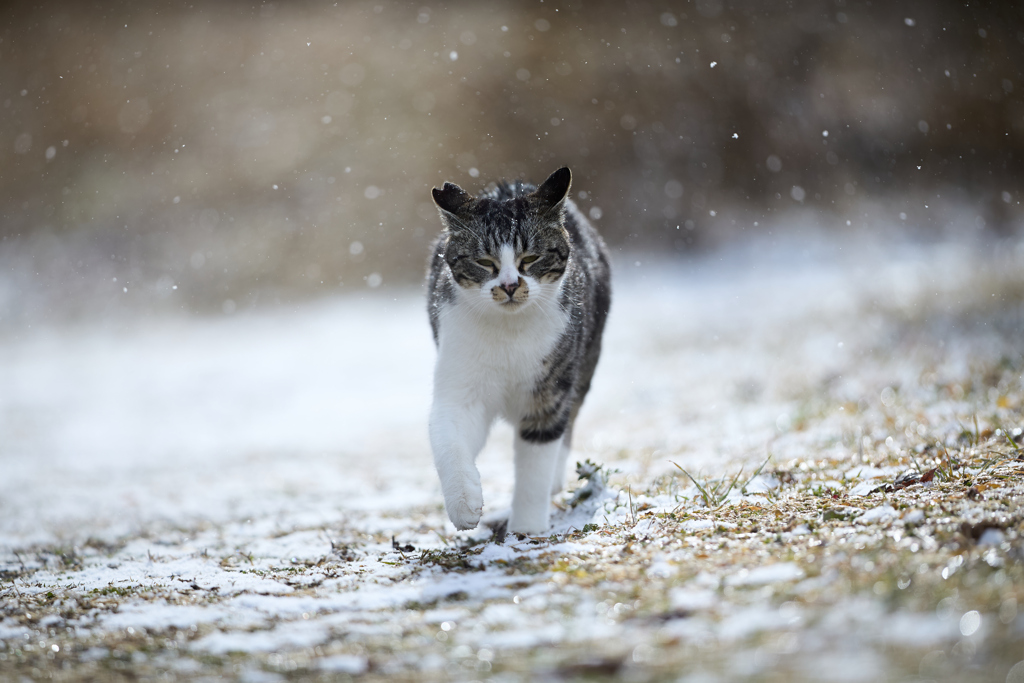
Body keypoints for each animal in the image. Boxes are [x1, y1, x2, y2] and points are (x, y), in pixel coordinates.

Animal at [423, 165, 606, 532]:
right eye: (484, 261)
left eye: (531, 258)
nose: (509, 285)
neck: (508, 335)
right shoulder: (460, 380)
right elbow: (448, 435)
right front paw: (464, 503)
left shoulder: (550, 390)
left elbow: (536, 463)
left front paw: (526, 531)